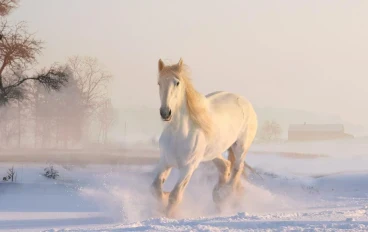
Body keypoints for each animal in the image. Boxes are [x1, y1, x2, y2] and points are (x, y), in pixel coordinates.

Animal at [151, 58, 258, 218]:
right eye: (159, 83)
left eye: (177, 83)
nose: (165, 112)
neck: (178, 134)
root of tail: (244, 101)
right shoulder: (165, 162)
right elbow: (156, 189)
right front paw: (163, 199)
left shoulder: (188, 168)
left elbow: (175, 196)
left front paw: (169, 214)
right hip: (213, 152)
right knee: (225, 165)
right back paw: (218, 195)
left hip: (240, 147)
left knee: (237, 169)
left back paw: (224, 194)